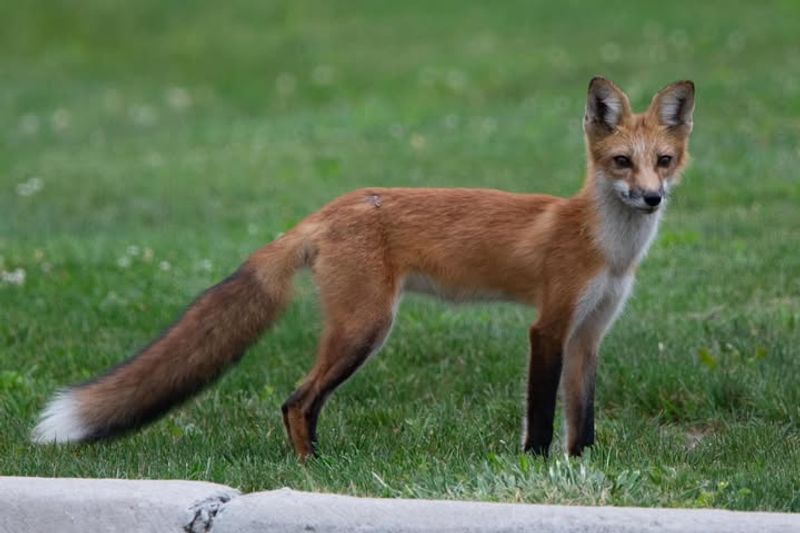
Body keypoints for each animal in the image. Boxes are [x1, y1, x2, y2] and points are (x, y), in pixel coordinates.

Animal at [33, 77, 694, 459]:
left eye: (663, 160)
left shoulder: (590, 334)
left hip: (362, 330)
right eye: (621, 162)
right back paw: (311, 471)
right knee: (296, 401)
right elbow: (540, 415)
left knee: (303, 402)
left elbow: (582, 420)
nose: (651, 197)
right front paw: (535, 467)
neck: (606, 247)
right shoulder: (549, 327)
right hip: (365, 329)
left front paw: (582, 469)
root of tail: (329, 208)